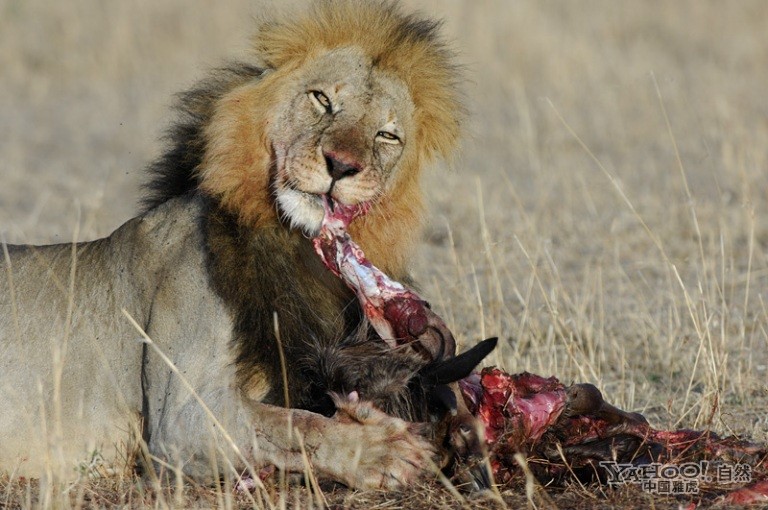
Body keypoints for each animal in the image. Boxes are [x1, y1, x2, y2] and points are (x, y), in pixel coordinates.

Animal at [0, 0, 468, 488]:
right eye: (322, 100)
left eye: (386, 135)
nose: (341, 165)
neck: (297, 248)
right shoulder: (178, 420)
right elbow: (291, 423)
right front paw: (379, 449)